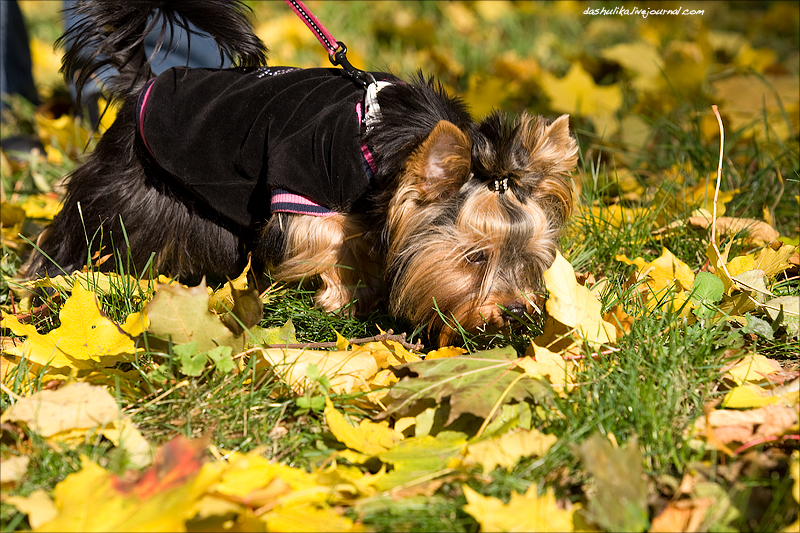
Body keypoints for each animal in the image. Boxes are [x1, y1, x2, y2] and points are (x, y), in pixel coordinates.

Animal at [25, 0, 576, 344]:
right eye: (475, 257)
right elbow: (331, 242)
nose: (516, 312)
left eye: (530, 258)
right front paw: (344, 301)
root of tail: (147, 83)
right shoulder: (305, 189)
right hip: (128, 188)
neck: (392, 143)